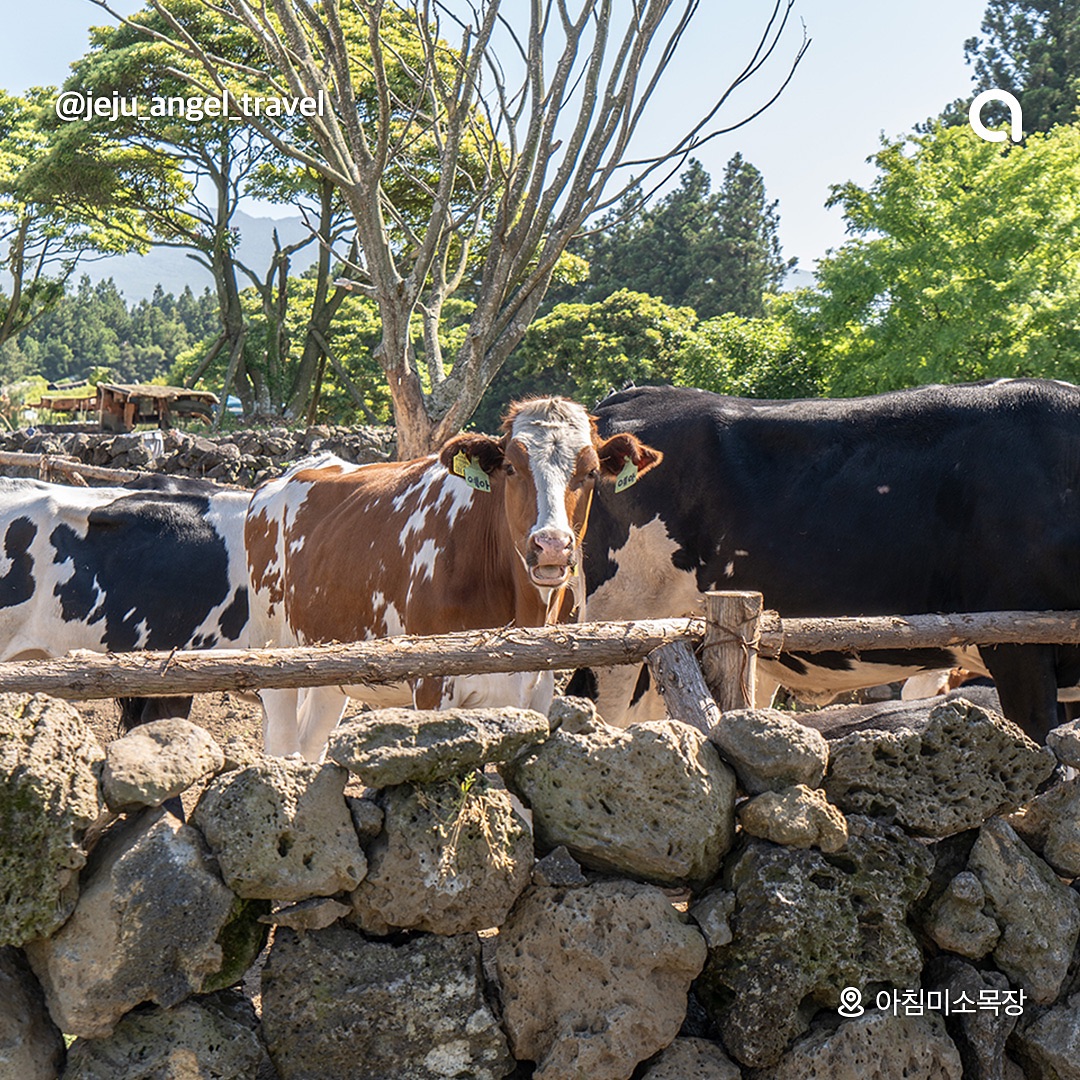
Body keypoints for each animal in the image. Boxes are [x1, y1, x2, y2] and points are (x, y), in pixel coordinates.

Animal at [244, 396, 662, 760]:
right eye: (511, 468)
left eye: (590, 472)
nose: (552, 545)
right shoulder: (432, 683)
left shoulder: (537, 686)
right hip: (276, 656)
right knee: (283, 745)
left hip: (329, 665)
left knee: (311, 742)